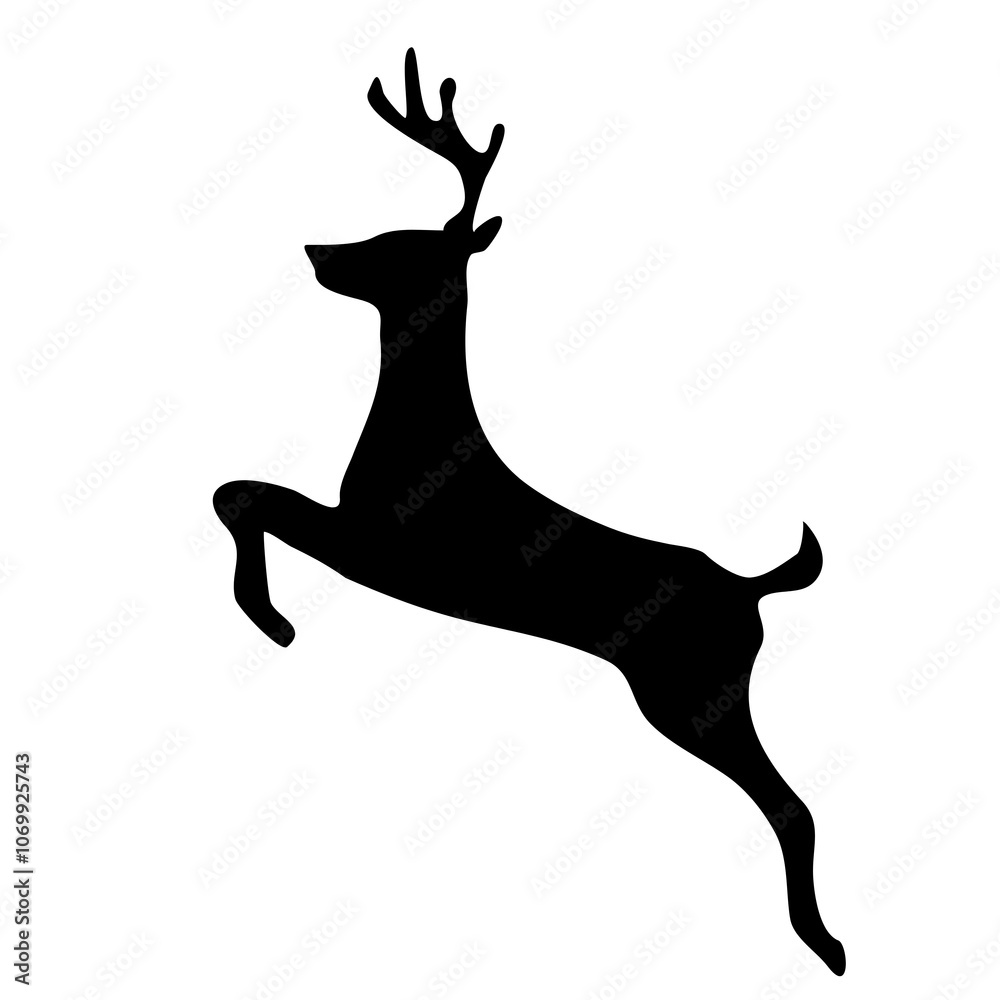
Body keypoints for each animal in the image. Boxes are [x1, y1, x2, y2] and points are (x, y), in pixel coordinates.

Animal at [213, 48, 845, 976]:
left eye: (401, 247)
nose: (319, 249)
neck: (418, 440)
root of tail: (754, 587)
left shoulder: (379, 547)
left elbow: (241, 494)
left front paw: (271, 620)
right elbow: (240, 491)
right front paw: (269, 615)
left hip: (695, 690)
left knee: (791, 804)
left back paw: (824, 945)